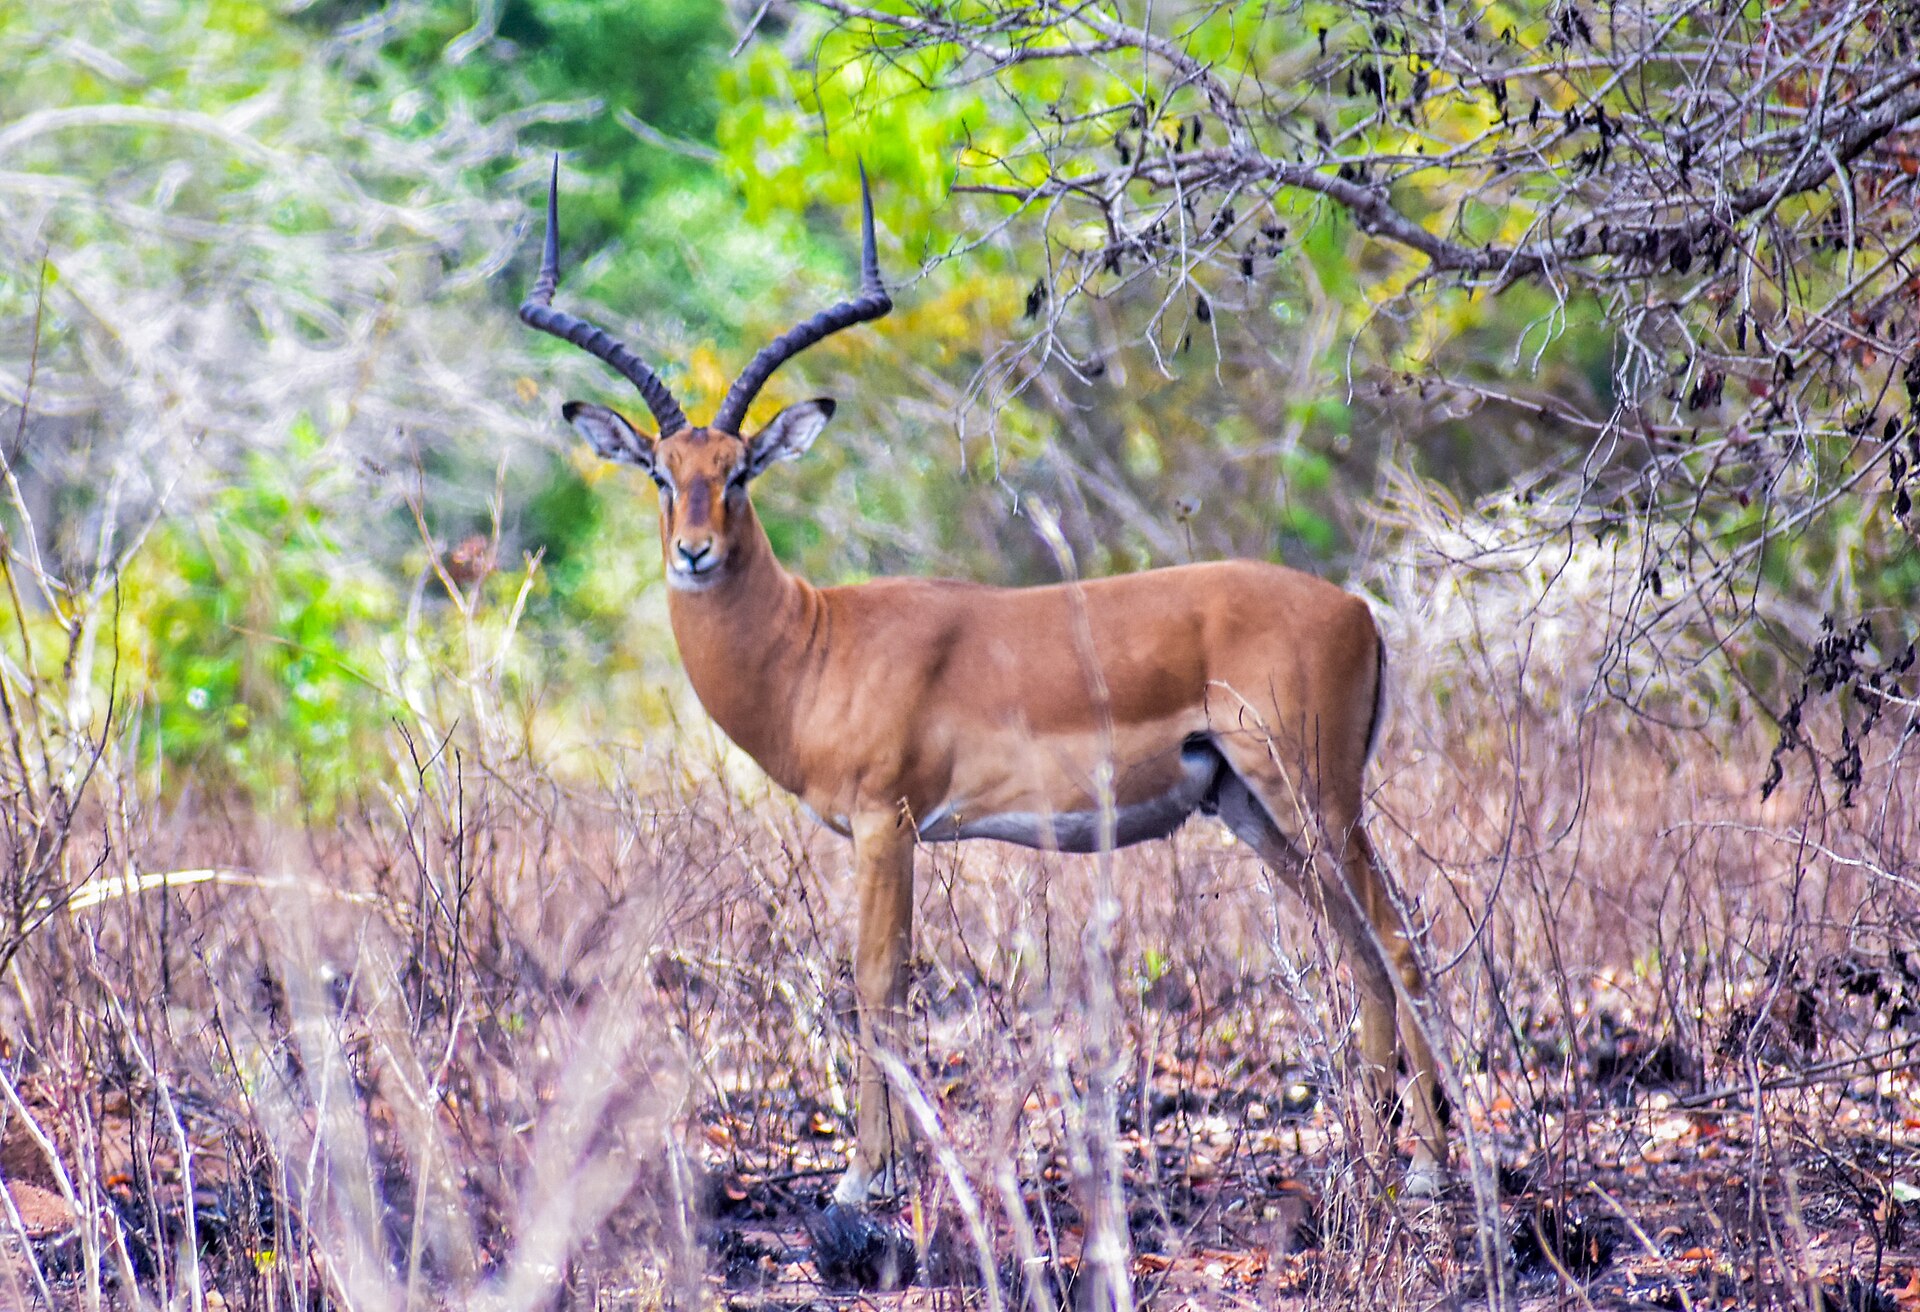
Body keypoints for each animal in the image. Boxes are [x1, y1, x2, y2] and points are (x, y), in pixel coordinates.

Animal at [519, 162, 1450, 1201]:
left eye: (741, 472)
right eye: (658, 473)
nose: (694, 553)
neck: (814, 645)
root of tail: (1358, 610)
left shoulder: (885, 824)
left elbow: (877, 987)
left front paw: (865, 1179)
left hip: (1315, 793)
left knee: (1401, 939)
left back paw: (1428, 1169)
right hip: (1253, 808)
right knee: (1359, 947)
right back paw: (1372, 1159)